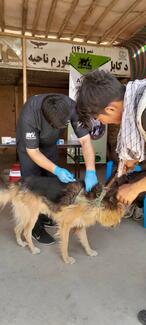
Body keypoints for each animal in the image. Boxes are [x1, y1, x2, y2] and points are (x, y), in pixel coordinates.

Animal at [0, 172, 144, 260]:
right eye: (119, 214)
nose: (116, 224)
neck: (96, 200)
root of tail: (21, 182)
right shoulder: (65, 225)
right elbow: (65, 244)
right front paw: (66, 259)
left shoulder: (80, 226)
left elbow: (85, 241)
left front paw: (89, 252)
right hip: (32, 216)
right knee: (26, 231)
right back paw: (33, 249)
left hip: (25, 214)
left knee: (16, 229)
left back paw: (20, 243)